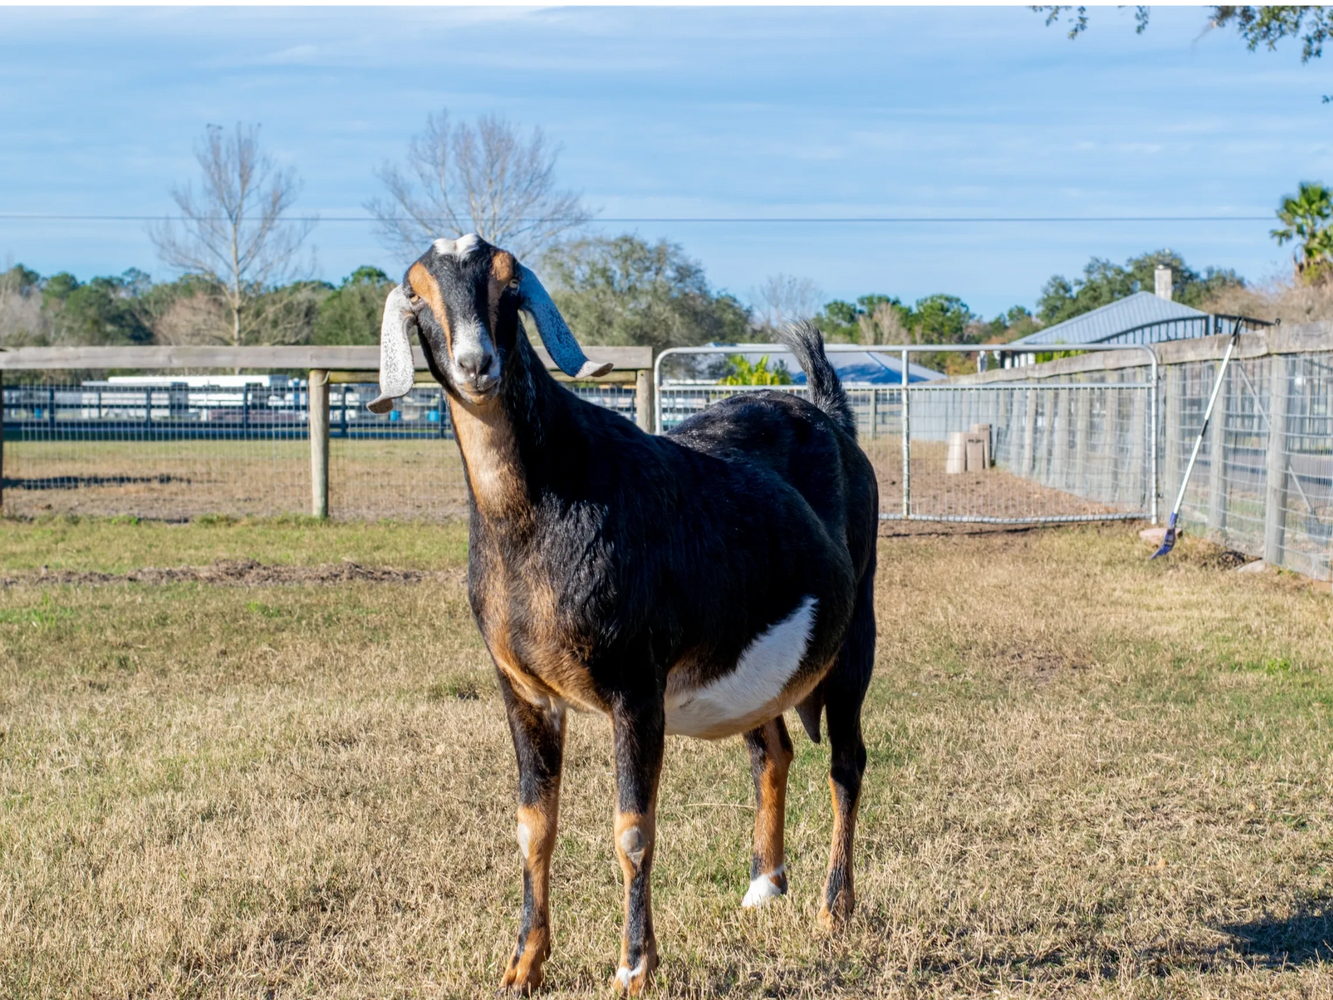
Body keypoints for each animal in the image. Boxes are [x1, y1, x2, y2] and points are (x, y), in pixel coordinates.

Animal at [370, 234, 878, 995]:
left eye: (508, 289)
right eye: (419, 296)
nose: (476, 364)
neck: (539, 510)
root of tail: (829, 412)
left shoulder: (636, 689)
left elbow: (633, 831)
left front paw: (634, 965)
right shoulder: (522, 691)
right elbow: (533, 826)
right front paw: (522, 964)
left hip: (856, 634)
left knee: (846, 763)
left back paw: (832, 910)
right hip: (753, 661)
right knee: (773, 749)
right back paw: (765, 886)